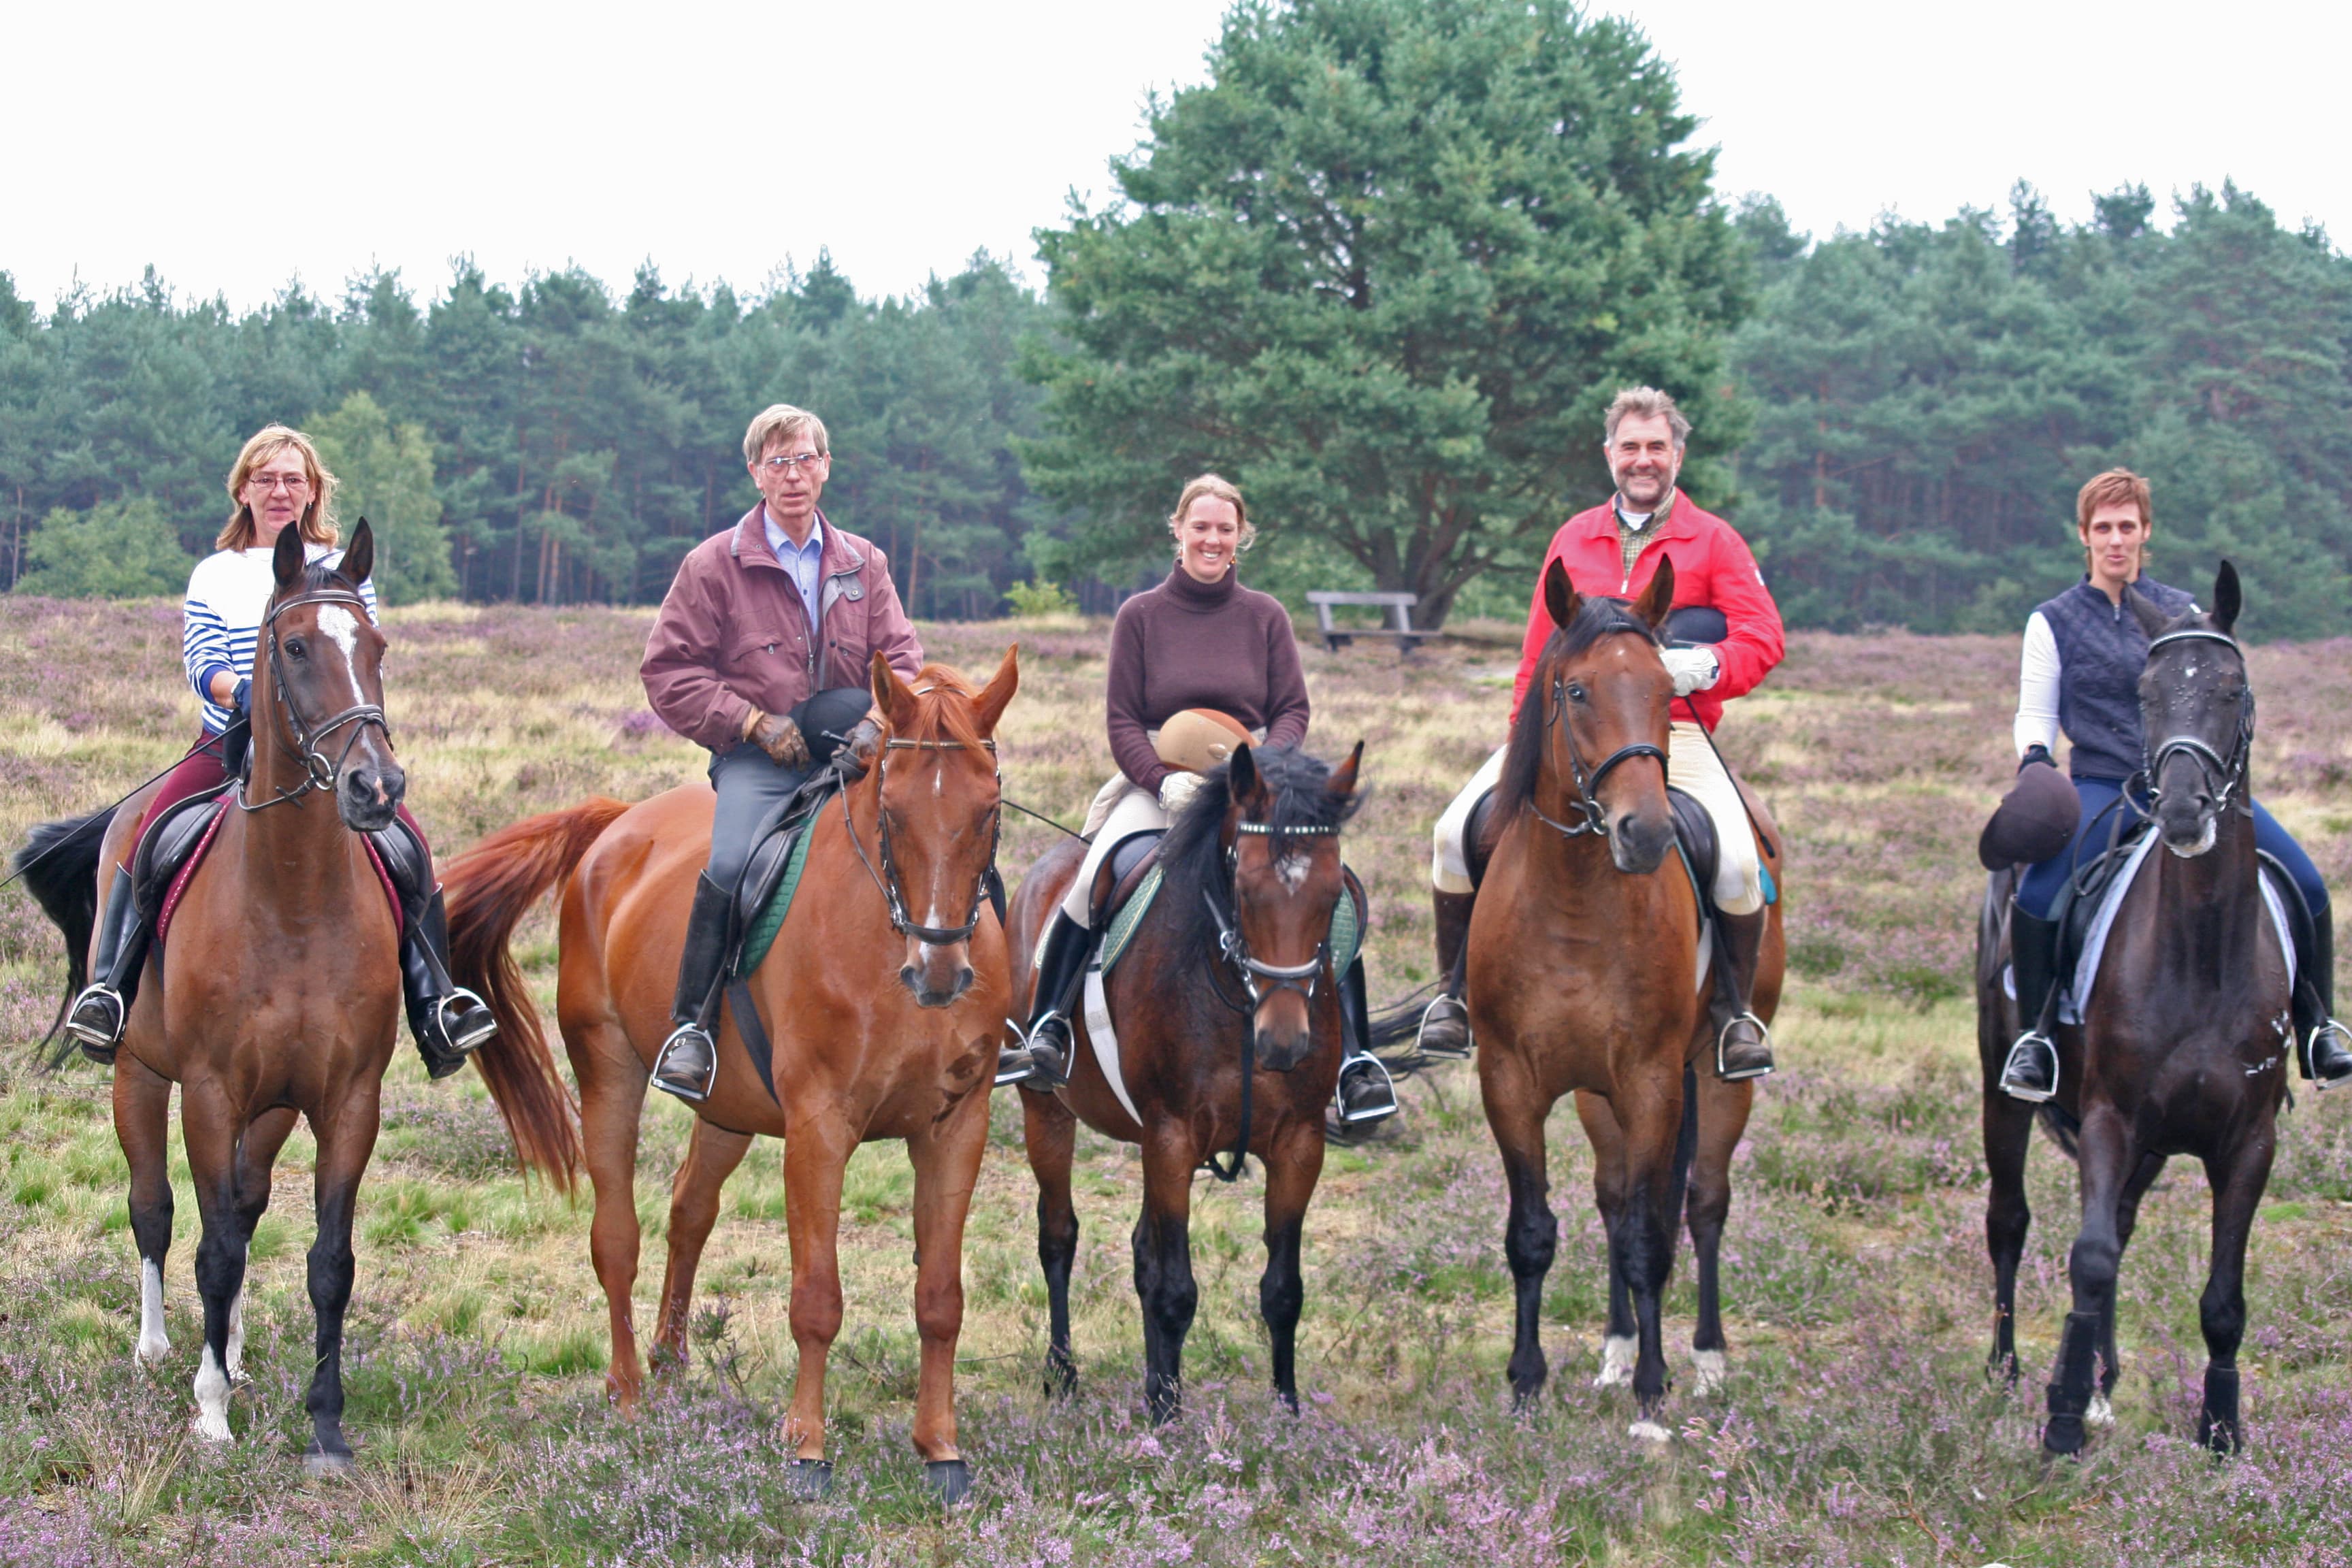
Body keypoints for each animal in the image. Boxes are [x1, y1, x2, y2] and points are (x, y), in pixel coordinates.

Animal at [12, 517, 574, 1476]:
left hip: (272, 1108)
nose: (375, 787)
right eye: (296, 646)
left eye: (377, 645)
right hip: (139, 1077)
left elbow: (325, 1261)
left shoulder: (346, 1100)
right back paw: (159, 1349)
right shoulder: (207, 1093)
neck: (295, 899)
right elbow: (209, 1248)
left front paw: (324, 1427)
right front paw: (209, 1415)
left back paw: (232, 1352)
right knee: (156, 1210)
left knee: (244, 1206)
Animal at [444, 653, 1015, 1504]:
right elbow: (817, 1298)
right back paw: (627, 1390)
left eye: (988, 810)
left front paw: (940, 1449)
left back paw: (671, 1359)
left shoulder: (957, 1126)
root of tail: (616, 825)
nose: (938, 973)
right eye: (894, 810)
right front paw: (807, 1449)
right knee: (617, 1236)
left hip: (728, 1109)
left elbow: (941, 1298)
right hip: (608, 1071)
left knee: (689, 1211)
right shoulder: (819, 1128)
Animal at [1007, 742, 1373, 1429]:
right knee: (1059, 1236)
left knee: (1141, 1251)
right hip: (1048, 1110)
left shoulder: (1298, 1145)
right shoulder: (1173, 1135)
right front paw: (1166, 1421)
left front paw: (1287, 1416)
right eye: (1246, 888)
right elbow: (1175, 1288)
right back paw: (1063, 1374)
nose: (1285, 1043)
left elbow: (1282, 1290)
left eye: (1333, 891)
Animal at [1467, 557, 1778, 1439]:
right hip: (1596, 1097)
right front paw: (1526, 1384)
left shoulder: (1650, 1079)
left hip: (1711, 1080)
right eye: (1575, 691)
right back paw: (1612, 1352)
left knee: (1702, 1205)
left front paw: (1652, 1397)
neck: (1575, 899)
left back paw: (1704, 1362)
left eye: (1665, 689)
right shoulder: (1512, 1081)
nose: (1646, 833)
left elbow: (1650, 1235)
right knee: (1612, 1199)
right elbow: (1533, 1232)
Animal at [1976, 564, 2286, 1457]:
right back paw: (2010, 1368)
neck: (2202, 956)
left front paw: (2221, 1430)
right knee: (2011, 1220)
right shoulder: (2111, 1118)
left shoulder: (2250, 1142)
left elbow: (2222, 1296)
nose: (2181, 810)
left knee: (2119, 1221)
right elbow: (2090, 1257)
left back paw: (2104, 1381)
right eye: (2145, 692)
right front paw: (2062, 1416)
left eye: (2230, 687)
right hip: (2004, 1091)